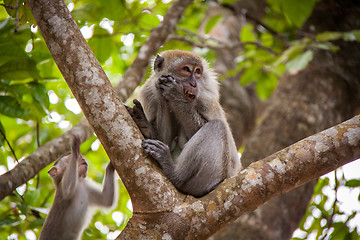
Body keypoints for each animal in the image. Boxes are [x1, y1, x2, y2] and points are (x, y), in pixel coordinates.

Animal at [126, 49, 242, 198]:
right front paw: (145, 125)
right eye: (186, 69)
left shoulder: (207, 98)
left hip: (212, 179)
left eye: (197, 71)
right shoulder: (149, 91)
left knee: (217, 127)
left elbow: (200, 127)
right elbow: (164, 139)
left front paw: (175, 94)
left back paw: (174, 174)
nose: (193, 84)